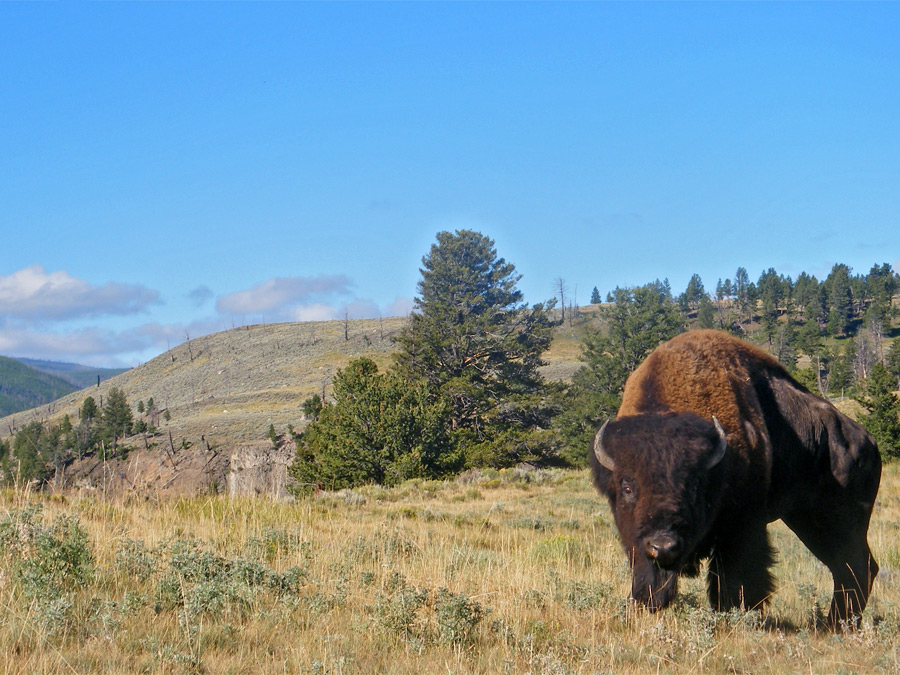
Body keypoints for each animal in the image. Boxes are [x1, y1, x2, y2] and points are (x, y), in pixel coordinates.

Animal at [592, 330, 880, 624]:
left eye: (694, 486)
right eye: (627, 487)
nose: (662, 546)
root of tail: (868, 442)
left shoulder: (743, 525)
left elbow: (736, 576)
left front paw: (734, 611)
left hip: (841, 521)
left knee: (856, 566)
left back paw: (837, 623)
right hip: (807, 520)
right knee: (848, 567)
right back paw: (834, 623)